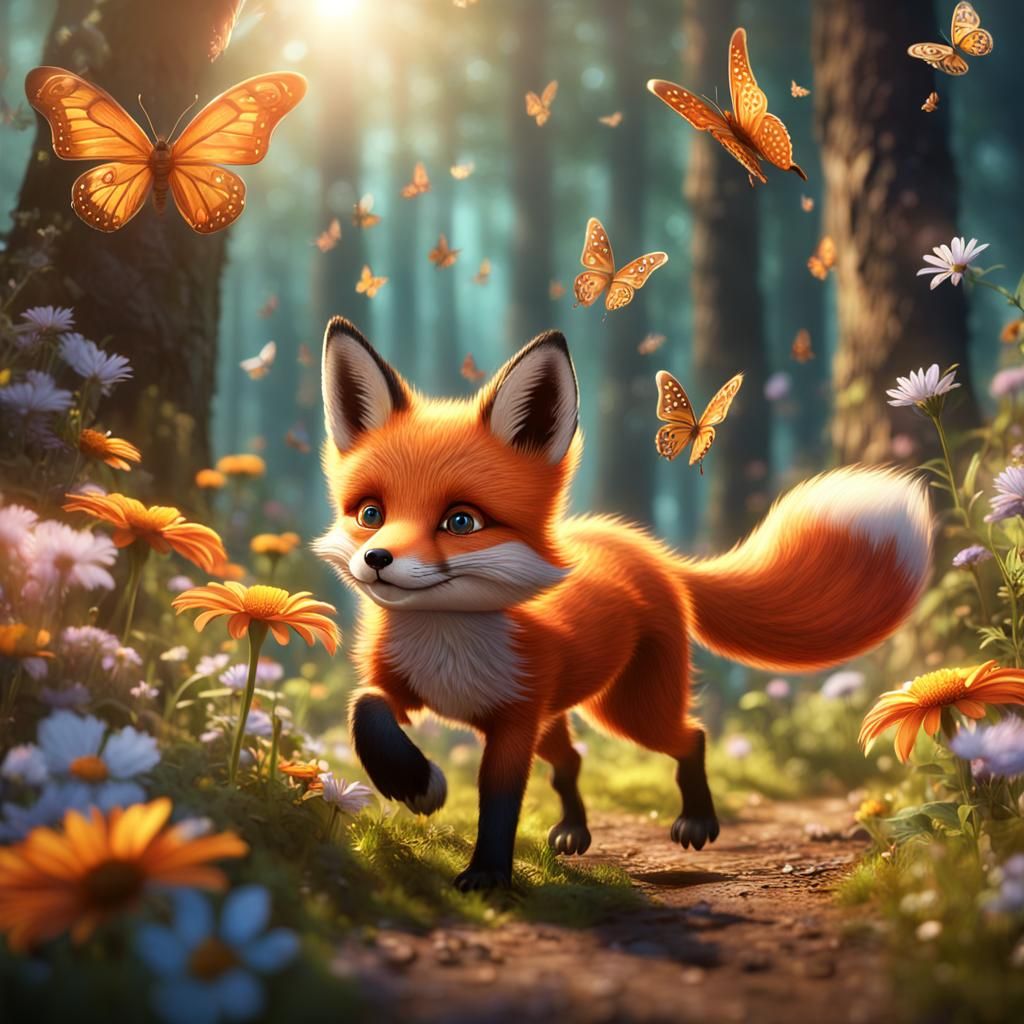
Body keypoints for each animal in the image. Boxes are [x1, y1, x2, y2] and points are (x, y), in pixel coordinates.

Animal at [315, 316, 933, 891]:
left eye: (461, 522)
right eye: (370, 513)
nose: (376, 559)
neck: (448, 641)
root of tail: (647, 549)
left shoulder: (515, 722)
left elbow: (500, 800)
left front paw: (488, 874)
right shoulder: (407, 686)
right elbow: (364, 711)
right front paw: (414, 782)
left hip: (629, 711)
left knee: (690, 737)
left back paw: (697, 821)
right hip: (566, 715)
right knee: (571, 761)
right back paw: (575, 830)